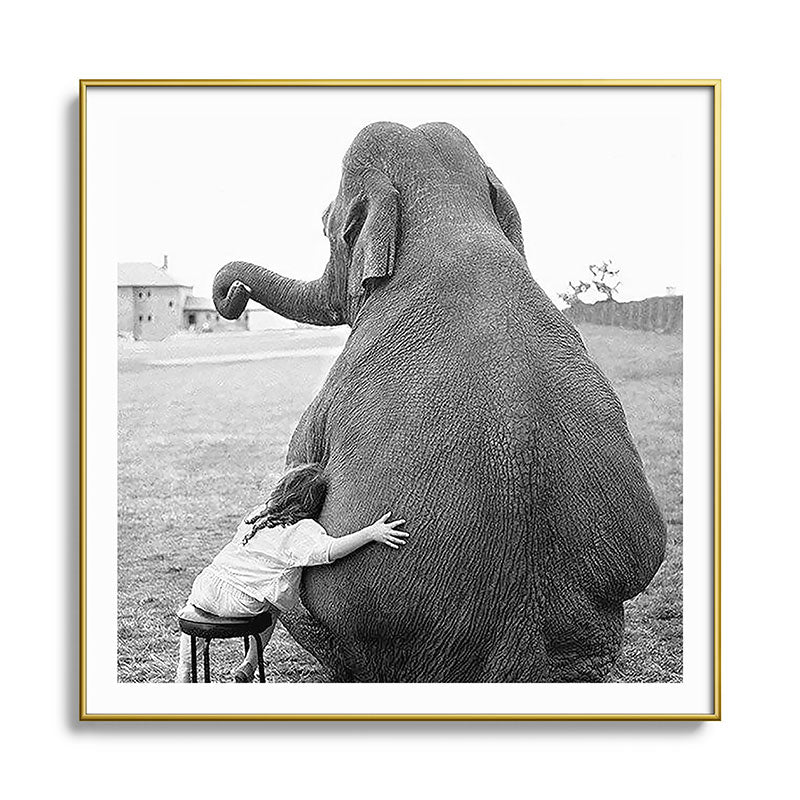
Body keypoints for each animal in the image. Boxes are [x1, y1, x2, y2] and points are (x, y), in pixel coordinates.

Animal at [213, 121, 666, 682]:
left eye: (324, 223)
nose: (231, 292)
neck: (449, 215)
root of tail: (520, 658)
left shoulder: (329, 393)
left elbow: (298, 470)